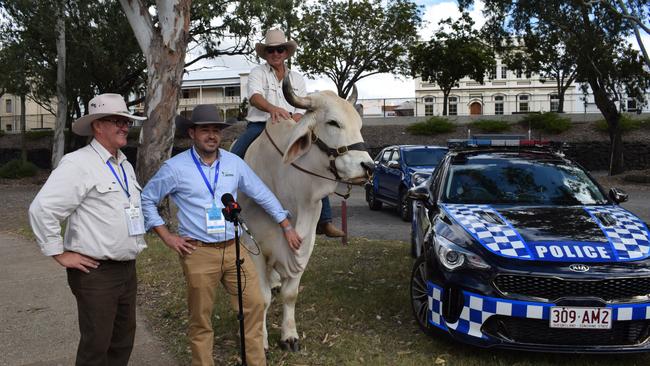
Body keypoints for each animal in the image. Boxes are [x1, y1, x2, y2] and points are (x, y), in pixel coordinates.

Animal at [238, 75, 372, 352]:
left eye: (359, 124)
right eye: (333, 122)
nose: (368, 166)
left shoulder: (304, 244)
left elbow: (291, 294)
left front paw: (289, 336)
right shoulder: (255, 246)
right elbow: (262, 297)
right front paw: (262, 340)